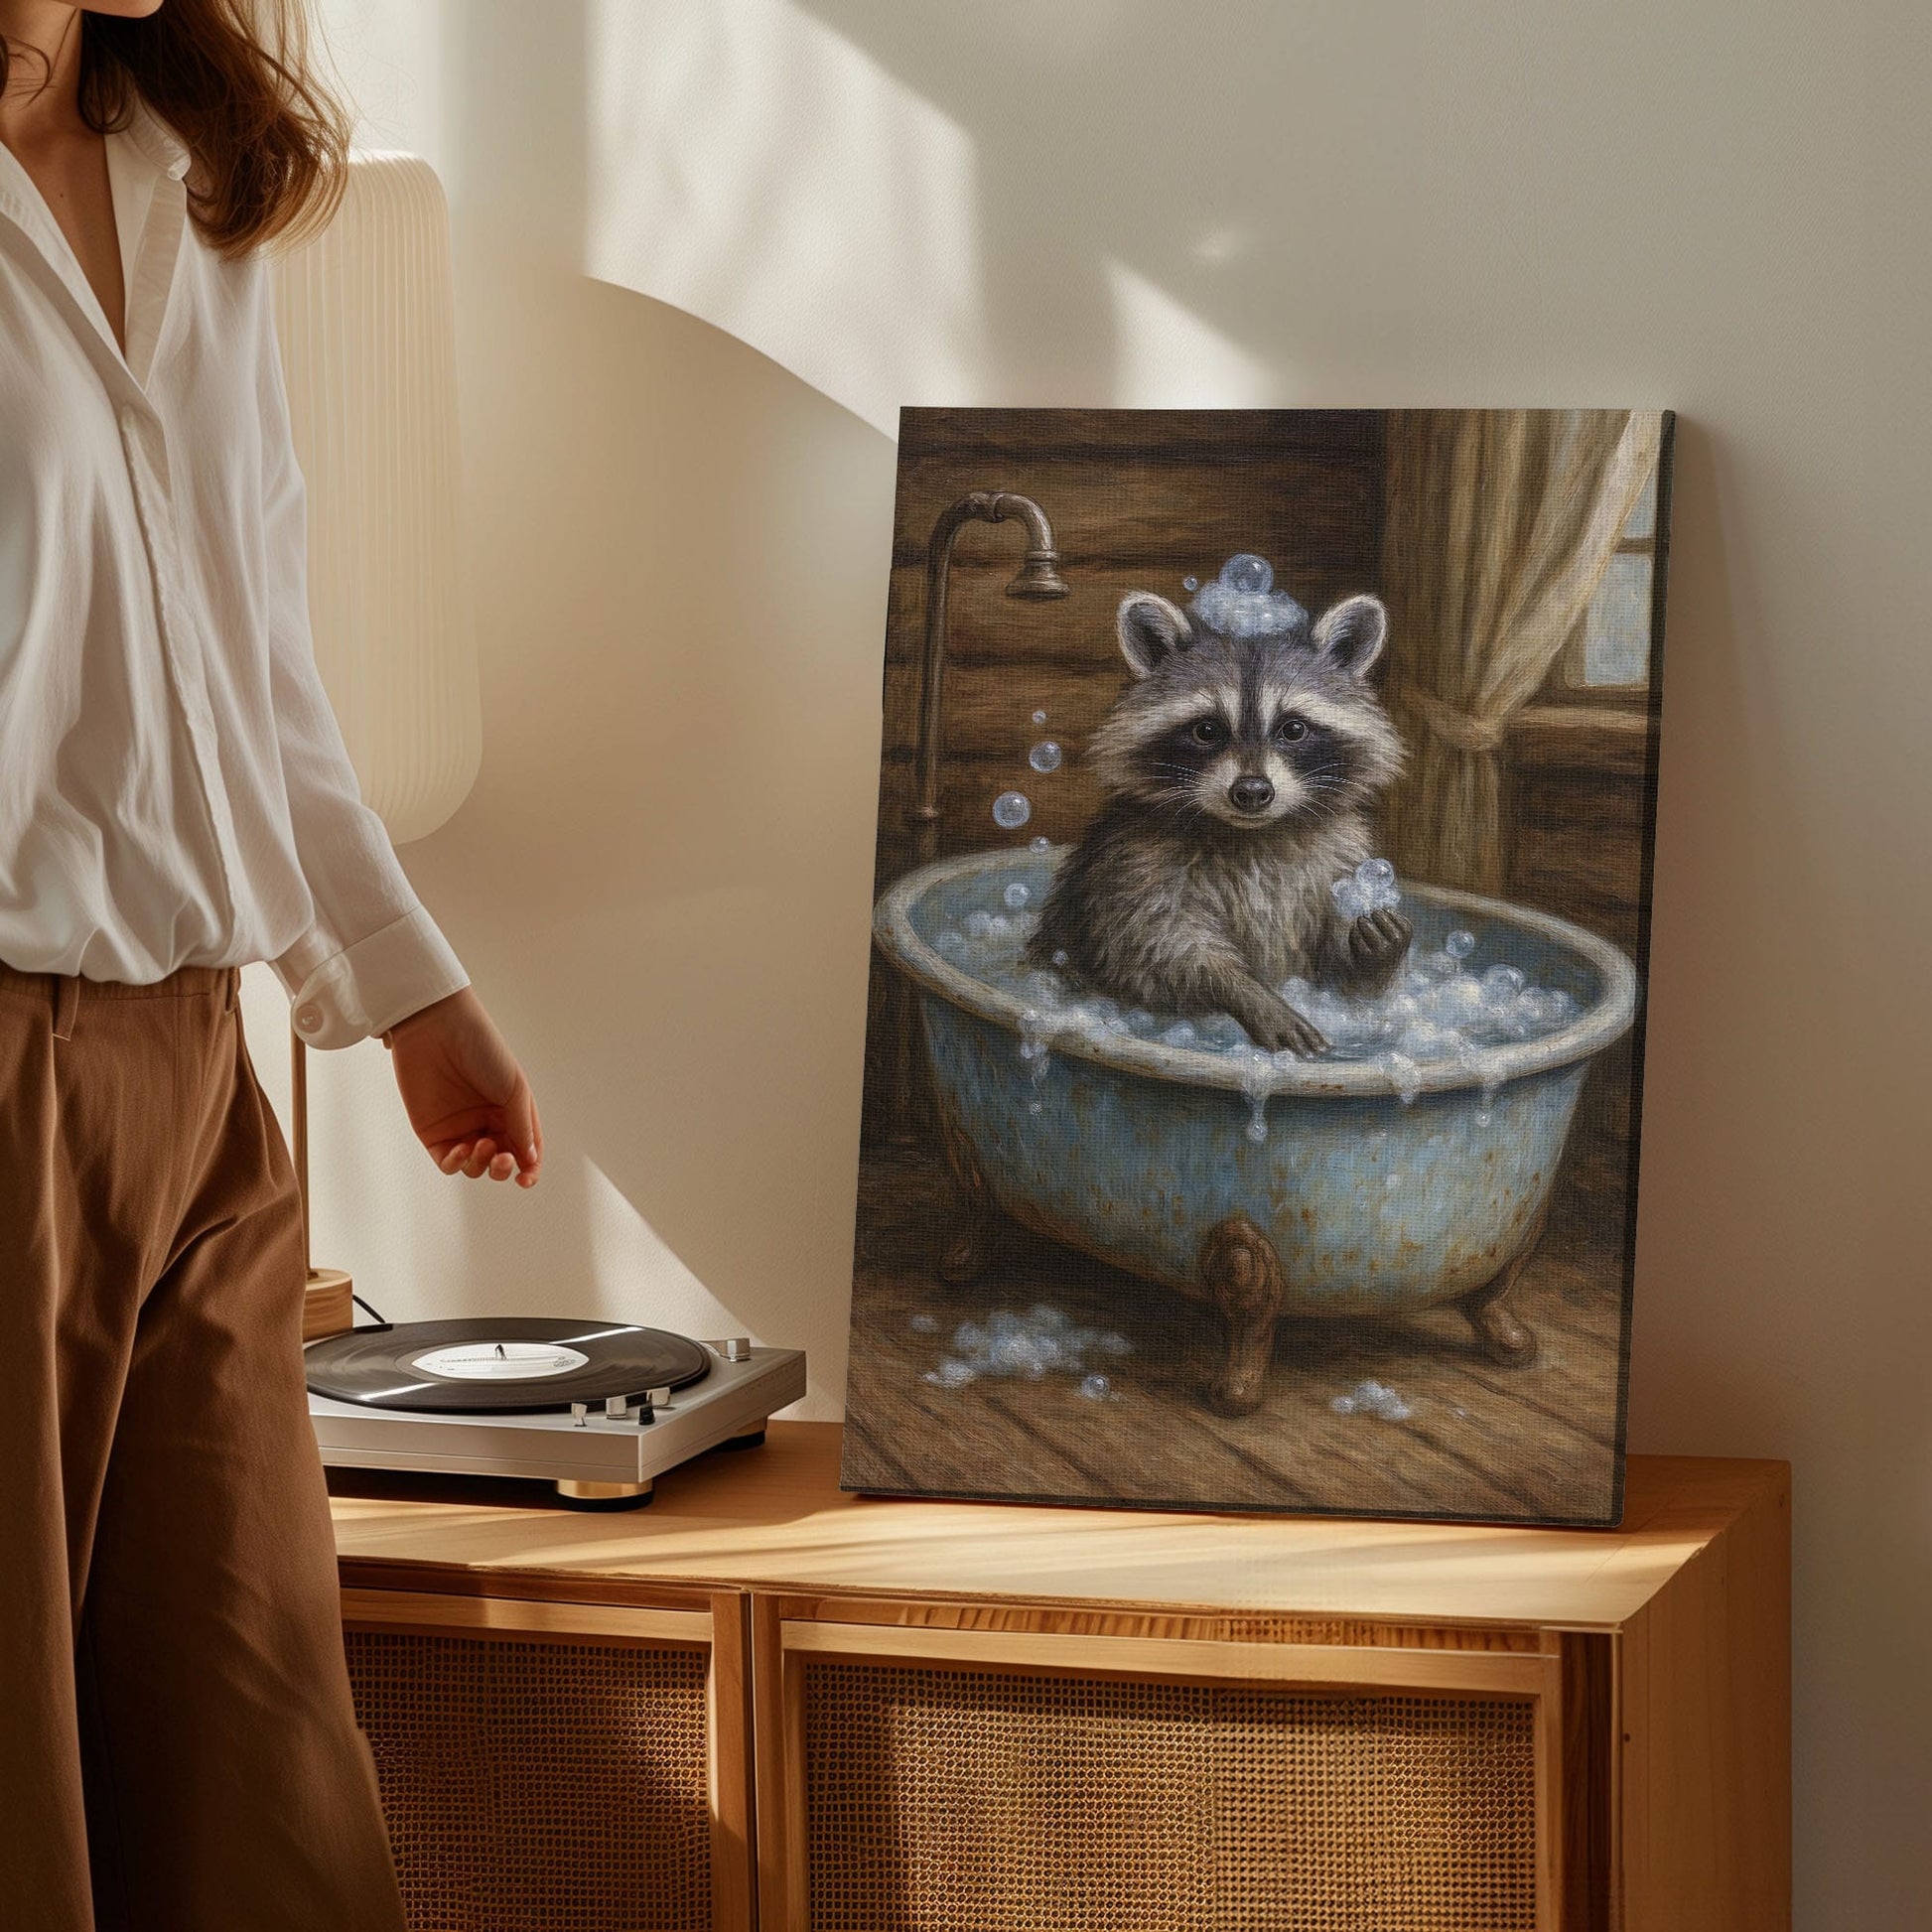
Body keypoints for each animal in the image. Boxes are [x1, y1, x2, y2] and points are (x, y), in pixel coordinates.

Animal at [1026, 587, 1410, 1056]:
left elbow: (1338, 973)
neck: (1253, 834)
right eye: (1207, 730)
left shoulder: (1341, 858)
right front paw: (1245, 990)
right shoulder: (1134, 864)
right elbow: (1155, 945)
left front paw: (1376, 955)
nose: (1252, 791)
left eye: (1293, 729)